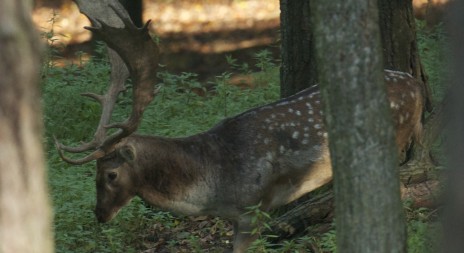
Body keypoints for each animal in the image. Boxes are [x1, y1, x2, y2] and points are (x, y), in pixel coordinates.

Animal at [54, 4, 424, 253]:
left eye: (111, 174)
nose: (100, 214)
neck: (211, 183)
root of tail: (417, 85)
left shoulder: (252, 208)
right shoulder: (235, 217)